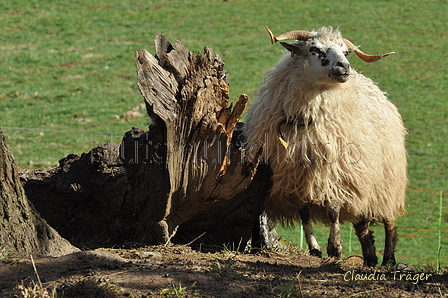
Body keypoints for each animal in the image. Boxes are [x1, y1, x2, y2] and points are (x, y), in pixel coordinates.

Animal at [243, 26, 408, 268]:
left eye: (346, 52)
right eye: (315, 49)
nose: (344, 67)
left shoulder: (335, 174)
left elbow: (332, 212)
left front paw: (335, 248)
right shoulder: (297, 176)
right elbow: (304, 212)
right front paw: (315, 249)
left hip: (387, 184)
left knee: (390, 222)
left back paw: (388, 259)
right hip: (364, 183)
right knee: (362, 225)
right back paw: (370, 258)